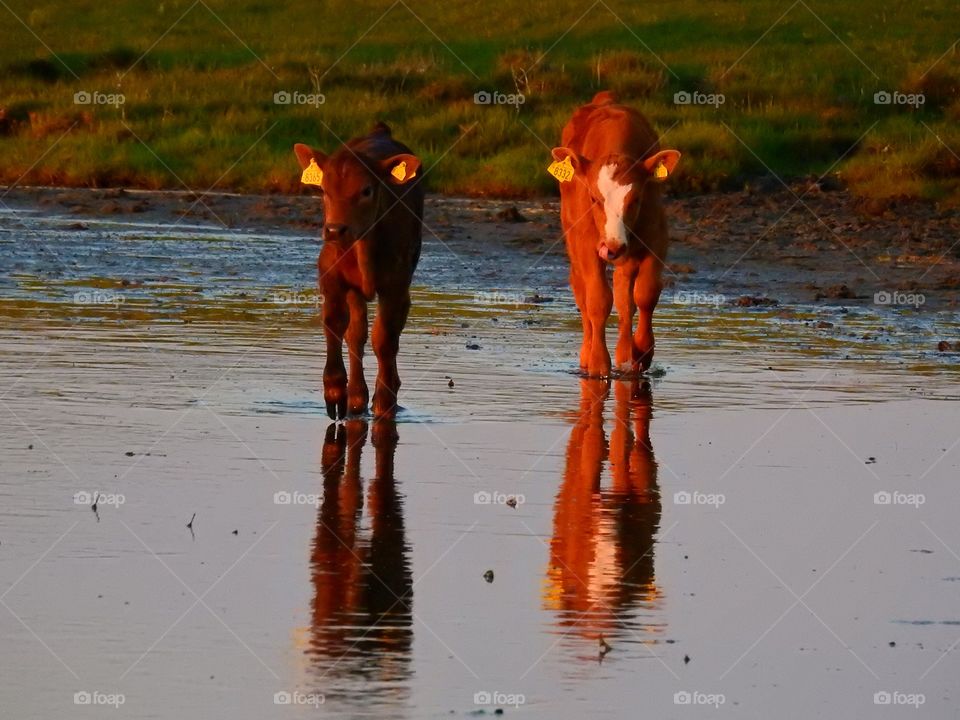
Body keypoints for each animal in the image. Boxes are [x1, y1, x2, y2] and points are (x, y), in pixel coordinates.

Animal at [294, 121, 422, 420]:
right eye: (324, 190)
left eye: (366, 191)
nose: (334, 230)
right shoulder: (330, 275)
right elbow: (335, 324)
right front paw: (335, 391)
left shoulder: (396, 285)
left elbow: (384, 340)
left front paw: (385, 404)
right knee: (356, 334)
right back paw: (355, 398)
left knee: (387, 335)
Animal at [552, 90, 680, 376]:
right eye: (593, 198)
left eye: (636, 199)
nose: (612, 247)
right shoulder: (587, 245)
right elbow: (598, 300)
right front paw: (599, 364)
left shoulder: (657, 237)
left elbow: (645, 294)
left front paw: (642, 350)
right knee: (583, 295)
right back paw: (587, 354)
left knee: (624, 298)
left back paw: (625, 354)